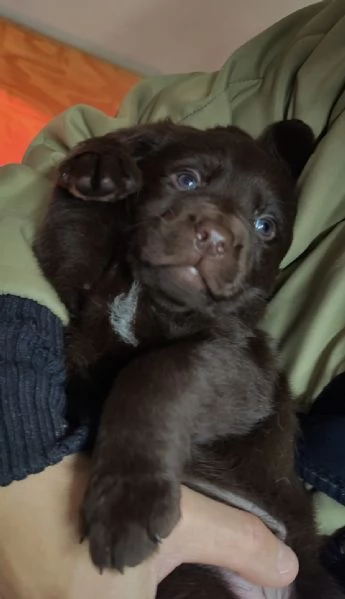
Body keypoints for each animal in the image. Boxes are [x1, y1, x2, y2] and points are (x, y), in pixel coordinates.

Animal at [34, 119, 342, 596]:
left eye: (265, 226)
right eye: (187, 180)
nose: (215, 237)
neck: (151, 295)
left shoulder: (243, 366)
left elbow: (160, 371)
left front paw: (127, 502)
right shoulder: (78, 284)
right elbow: (70, 227)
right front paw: (103, 161)